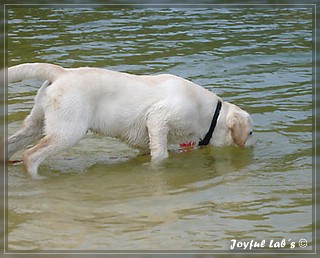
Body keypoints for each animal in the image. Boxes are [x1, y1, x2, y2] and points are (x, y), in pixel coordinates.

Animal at [7, 63, 255, 175]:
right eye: (251, 132)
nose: (252, 146)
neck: (209, 114)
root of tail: (61, 72)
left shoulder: (146, 138)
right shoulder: (158, 118)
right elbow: (161, 155)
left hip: (36, 123)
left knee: (11, 143)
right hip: (67, 132)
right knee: (31, 155)